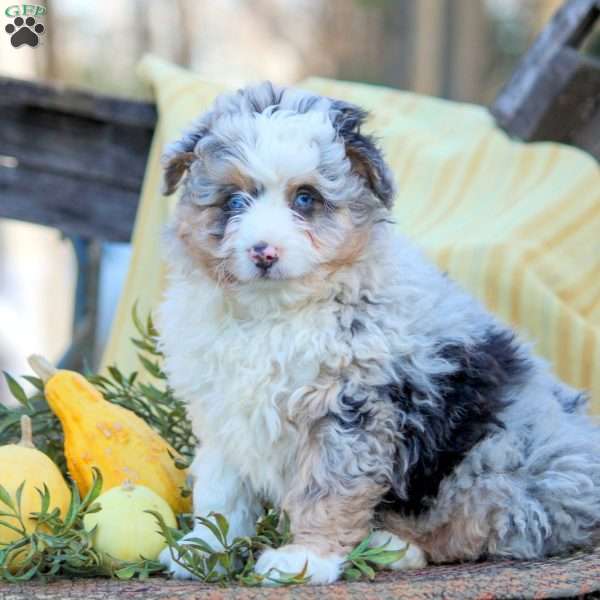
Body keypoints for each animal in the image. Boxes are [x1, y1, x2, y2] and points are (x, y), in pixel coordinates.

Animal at [156, 82, 600, 584]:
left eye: (305, 198)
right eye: (233, 201)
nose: (263, 252)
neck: (272, 315)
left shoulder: (352, 410)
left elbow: (328, 487)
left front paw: (305, 558)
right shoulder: (224, 409)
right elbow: (221, 488)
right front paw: (205, 549)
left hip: (503, 455)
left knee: (492, 524)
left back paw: (393, 546)